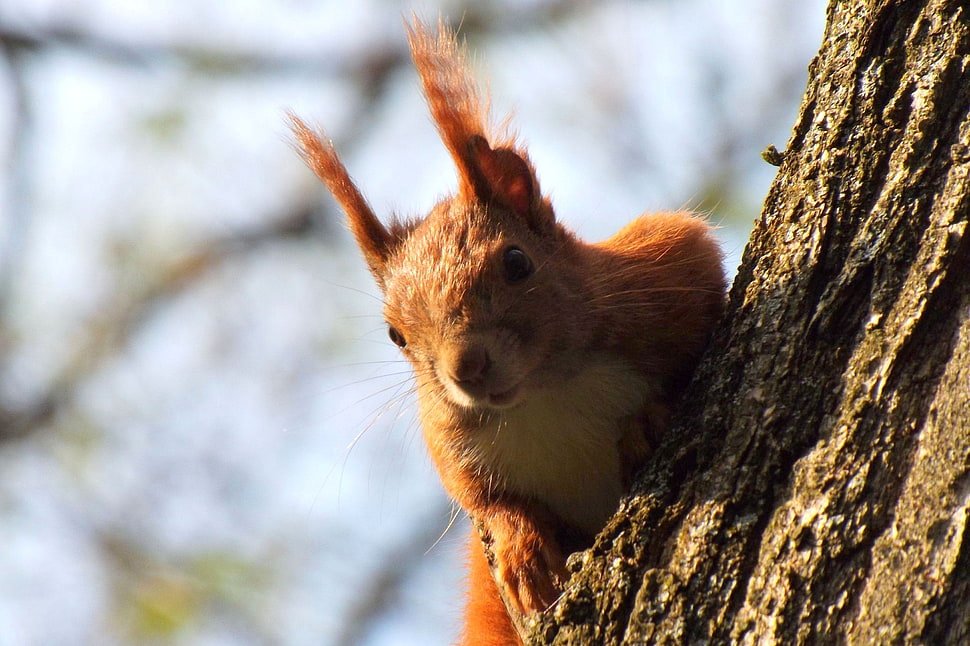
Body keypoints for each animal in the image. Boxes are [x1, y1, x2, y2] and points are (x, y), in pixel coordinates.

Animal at [290, 18, 726, 646]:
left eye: (517, 262)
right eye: (395, 335)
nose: (466, 368)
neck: (545, 394)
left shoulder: (665, 268)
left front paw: (648, 420)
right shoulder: (448, 433)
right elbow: (480, 498)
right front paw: (520, 545)